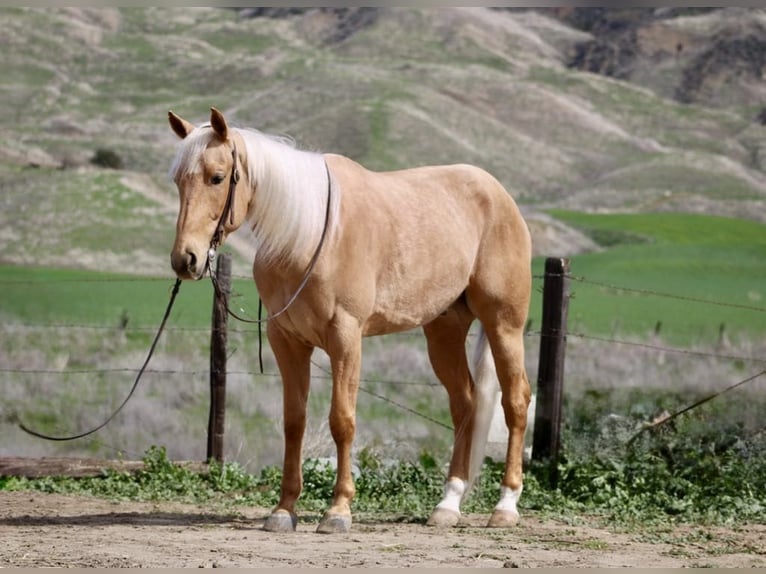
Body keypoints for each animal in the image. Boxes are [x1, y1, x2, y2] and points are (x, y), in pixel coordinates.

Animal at [167, 107, 532, 534]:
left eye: (217, 177)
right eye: (178, 180)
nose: (186, 259)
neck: (305, 235)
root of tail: (500, 196)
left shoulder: (345, 337)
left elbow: (342, 420)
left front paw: (338, 510)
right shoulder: (287, 341)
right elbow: (294, 422)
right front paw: (284, 510)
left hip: (504, 325)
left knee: (515, 401)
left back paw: (505, 506)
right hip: (444, 331)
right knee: (466, 404)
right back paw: (448, 503)